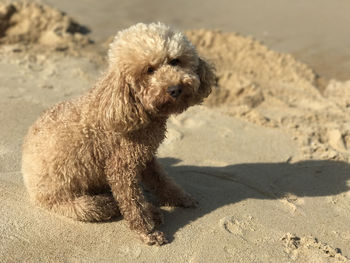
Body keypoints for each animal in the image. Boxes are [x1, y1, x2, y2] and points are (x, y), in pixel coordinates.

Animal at [21, 22, 216, 245]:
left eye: (175, 61)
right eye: (149, 70)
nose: (175, 89)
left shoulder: (145, 156)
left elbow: (162, 181)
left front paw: (181, 198)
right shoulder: (121, 167)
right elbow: (133, 205)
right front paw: (147, 232)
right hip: (72, 203)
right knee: (102, 206)